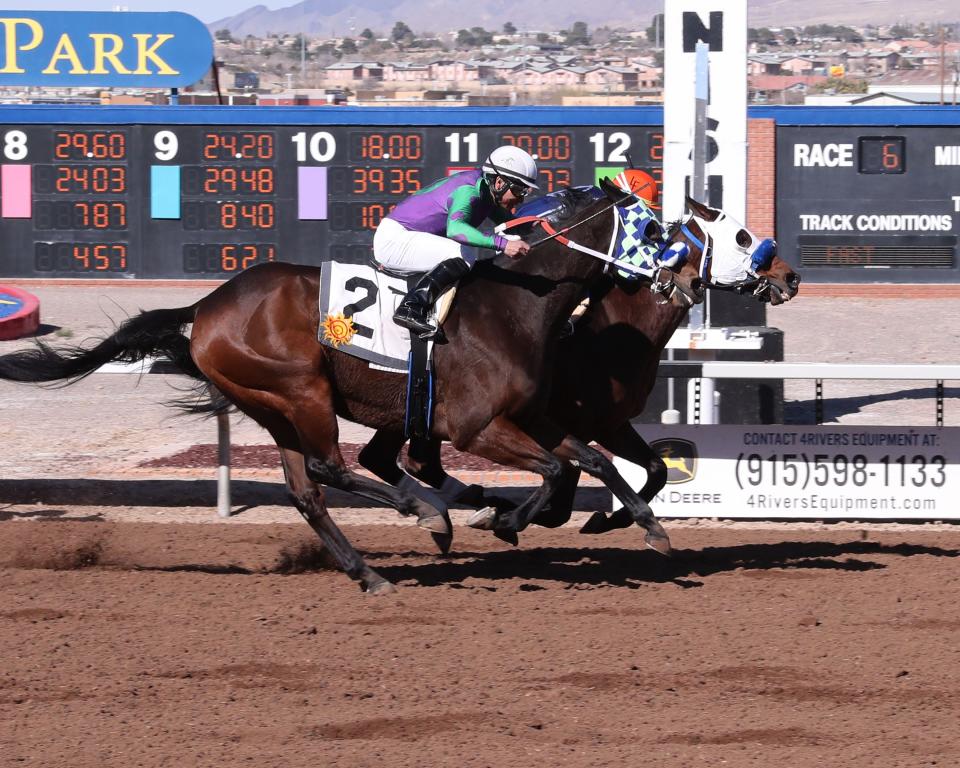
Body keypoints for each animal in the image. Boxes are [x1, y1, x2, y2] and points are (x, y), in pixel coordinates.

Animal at [0, 180, 680, 592]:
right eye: (650, 230)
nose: (676, 277)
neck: (518, 304)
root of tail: (206, 306)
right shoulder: (476, 427)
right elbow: (560, 469)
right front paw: (502, 518)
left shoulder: (529, 416)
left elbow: (586, 460)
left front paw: (644, 524)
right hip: (302, 391)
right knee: (330, 467)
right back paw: (426, 515)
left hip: (272, 406)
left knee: (307, 491)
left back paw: (370, 570)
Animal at [356, 198, 800, 536]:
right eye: (741, 237)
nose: (791, 276)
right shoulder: (550, 421)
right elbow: (570, 480)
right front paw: (510, 519)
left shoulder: (608, 424)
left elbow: (654, 468)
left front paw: (607, 519)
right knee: (410, 461)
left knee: (393, 459)